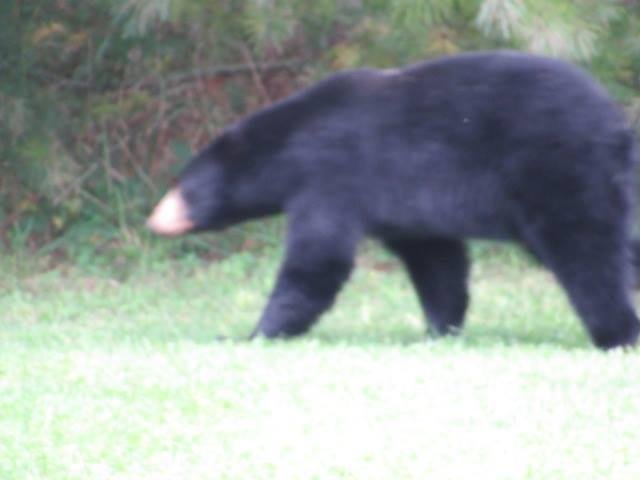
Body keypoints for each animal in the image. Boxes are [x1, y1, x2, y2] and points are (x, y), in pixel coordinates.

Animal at [147, 50, 640, 349]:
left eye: (183, 186)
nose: (153, 219)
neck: (291, 143)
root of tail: (616, 125)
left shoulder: (332, 177)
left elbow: (318, 260)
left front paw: (257, 333)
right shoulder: (403, 204)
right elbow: (435, 260)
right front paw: (440, 329)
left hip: (558, 174)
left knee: (586, 254)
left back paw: (617, 332)